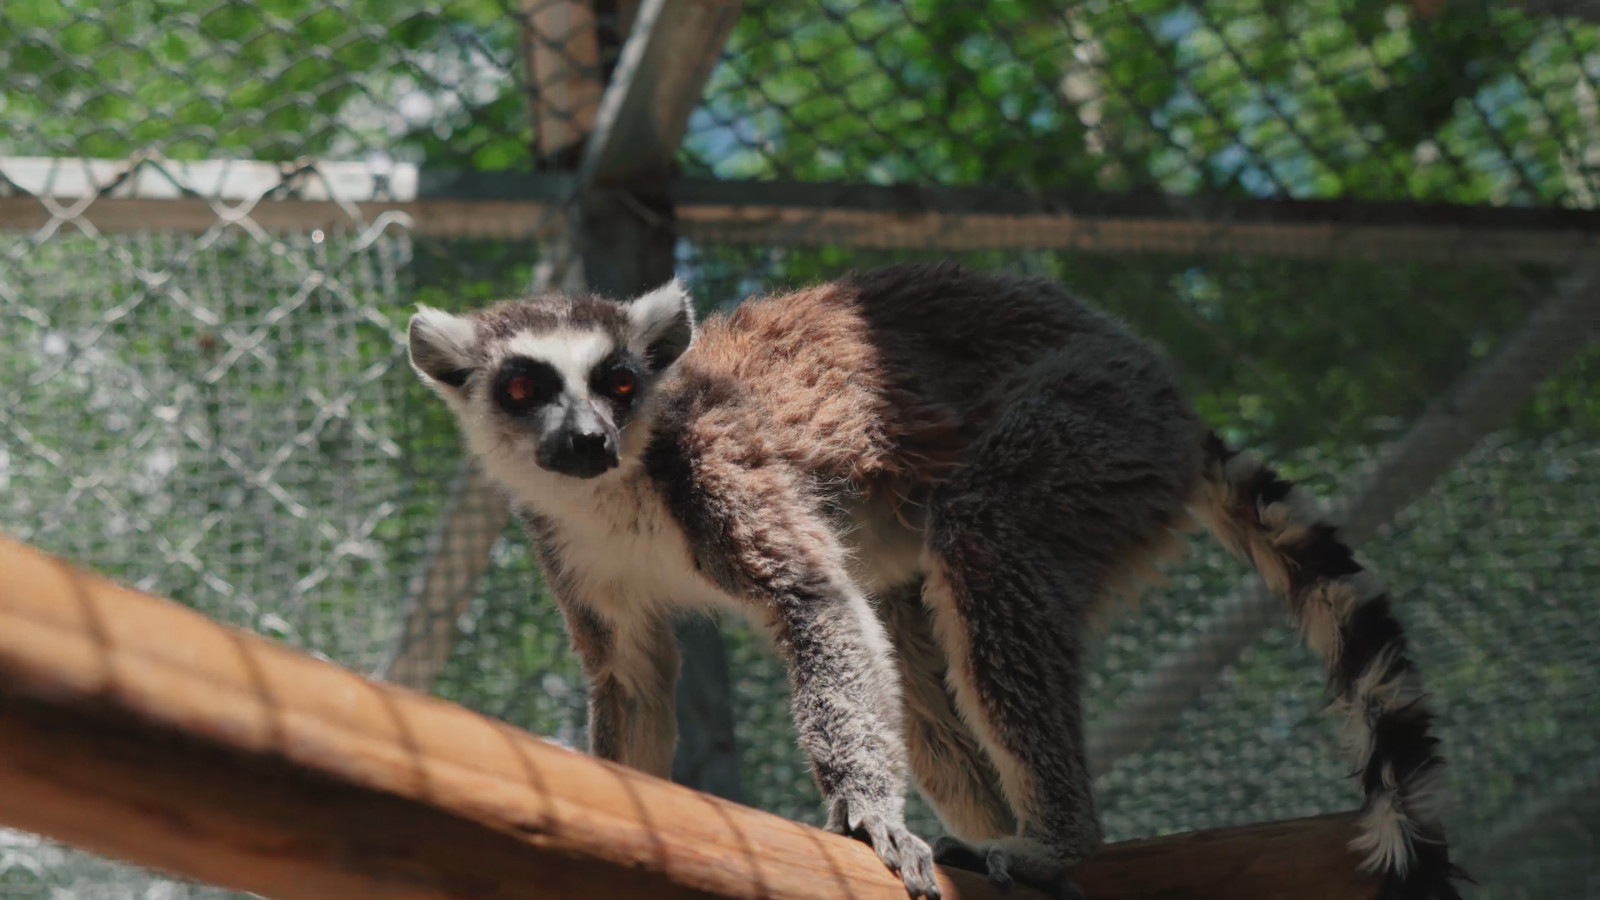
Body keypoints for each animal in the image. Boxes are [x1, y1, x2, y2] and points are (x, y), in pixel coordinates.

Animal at [405, 262, 1465, 900]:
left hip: (1089, 425)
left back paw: (1052, 840)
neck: (619, 489)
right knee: (913, 653)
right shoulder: (569, 548)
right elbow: (627, 678)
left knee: (987, 550)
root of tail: (1163, 393)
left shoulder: (719, 469)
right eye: (525, 388)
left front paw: (867, 813)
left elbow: (814, 605)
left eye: (620, 385)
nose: (587, 438)